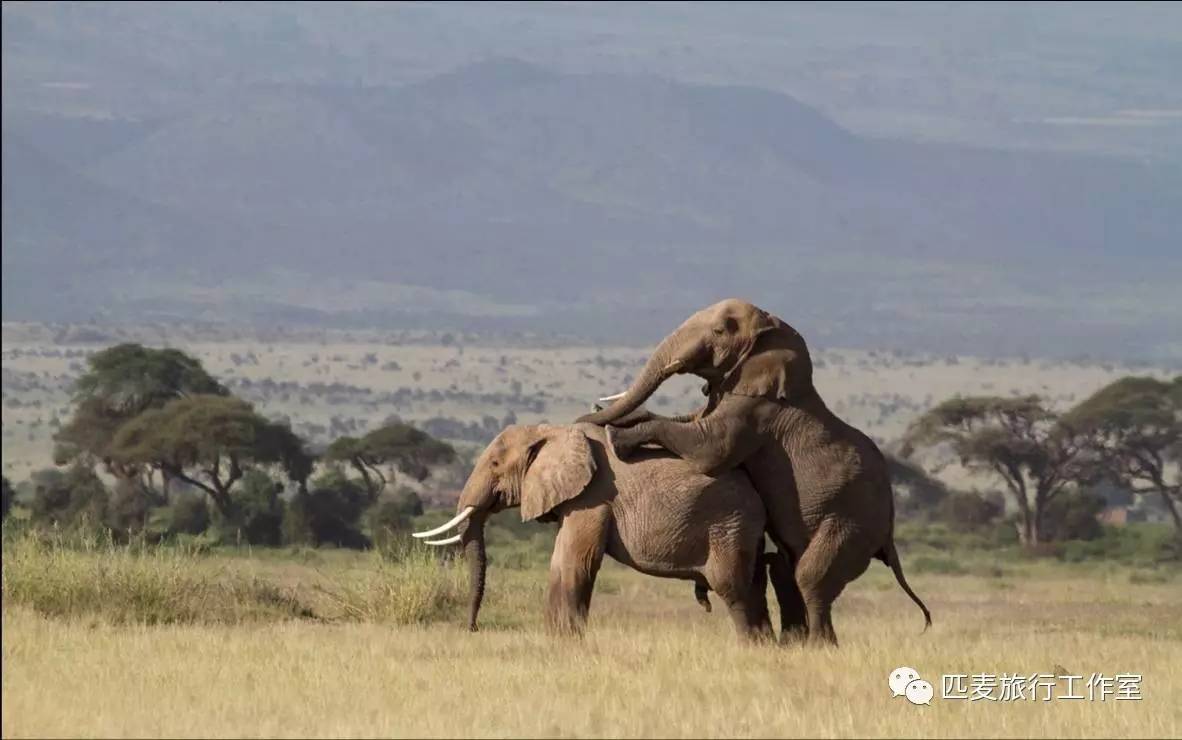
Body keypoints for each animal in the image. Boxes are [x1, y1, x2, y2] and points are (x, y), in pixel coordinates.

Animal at [411, 420, 780, 638]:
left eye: (495, 464)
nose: (472, 628)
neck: (554, 431)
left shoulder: (593, 496)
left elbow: (575, 562)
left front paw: (565, 642)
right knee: (753, 586)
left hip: (729, 523)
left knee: (733, 588)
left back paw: (751, 647)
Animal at [576, 296, 926, 643]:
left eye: (719, 331)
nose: (590, 409)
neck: (774, 332)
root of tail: (890, 533)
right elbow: (689, 421)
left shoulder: (756, 410)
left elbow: (708, 447)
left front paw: (616, 437)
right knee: (788, 569)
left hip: (852, 522)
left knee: (810, 578)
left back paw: (819, 646)